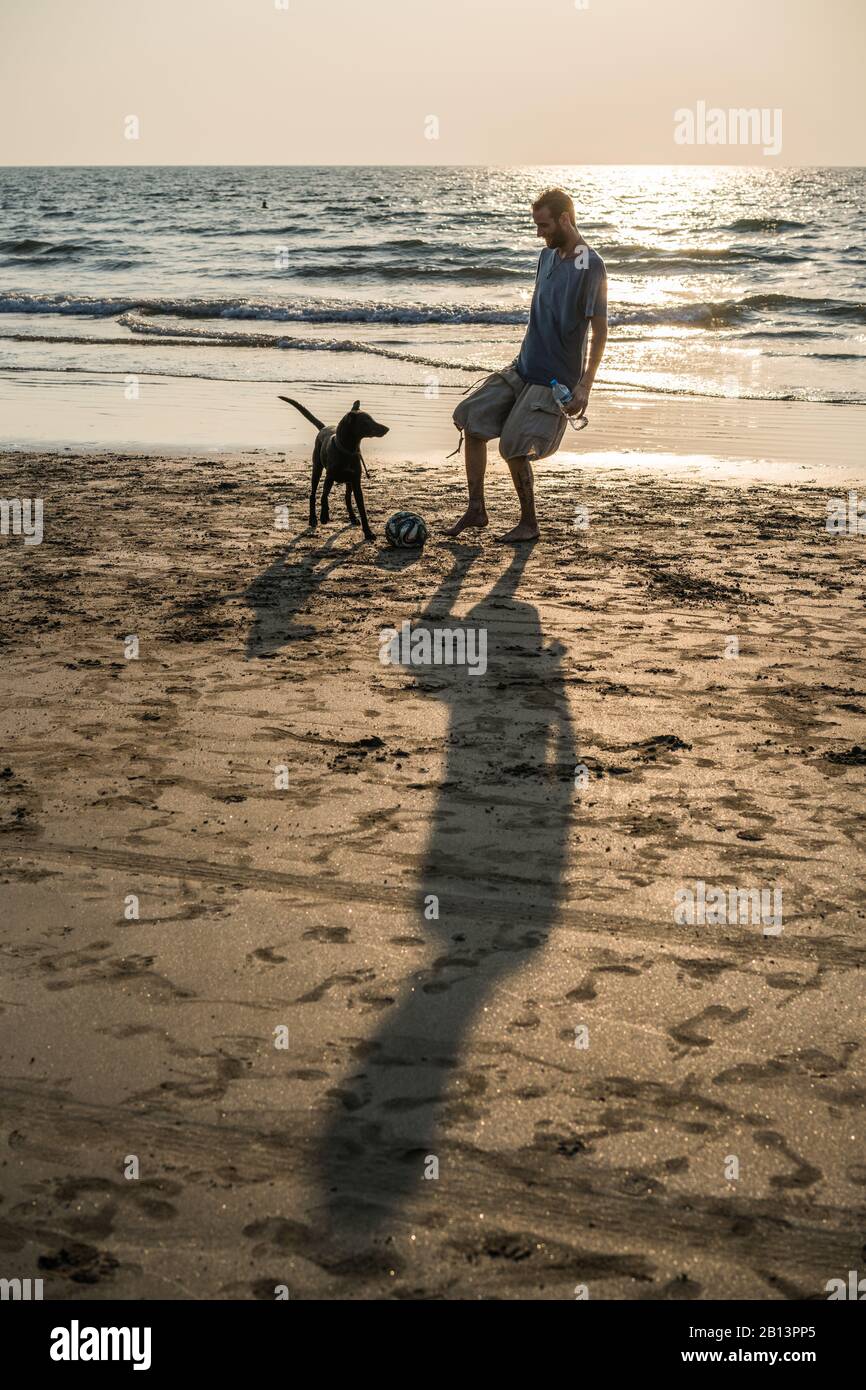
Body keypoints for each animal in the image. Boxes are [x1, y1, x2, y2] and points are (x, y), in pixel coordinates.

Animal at [278, 397, 389, 542]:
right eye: (366, 422)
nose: (387, 429)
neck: (348, 450)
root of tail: (324, 428)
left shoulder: (356, 481)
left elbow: (362, 509)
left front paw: (368, 532)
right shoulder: (329, 477)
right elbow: (324, 496)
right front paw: (324, 516)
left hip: (348, 482)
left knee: (347, 498)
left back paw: (353, 518)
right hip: (317, 469)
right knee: (313, 494)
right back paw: (313, 519)